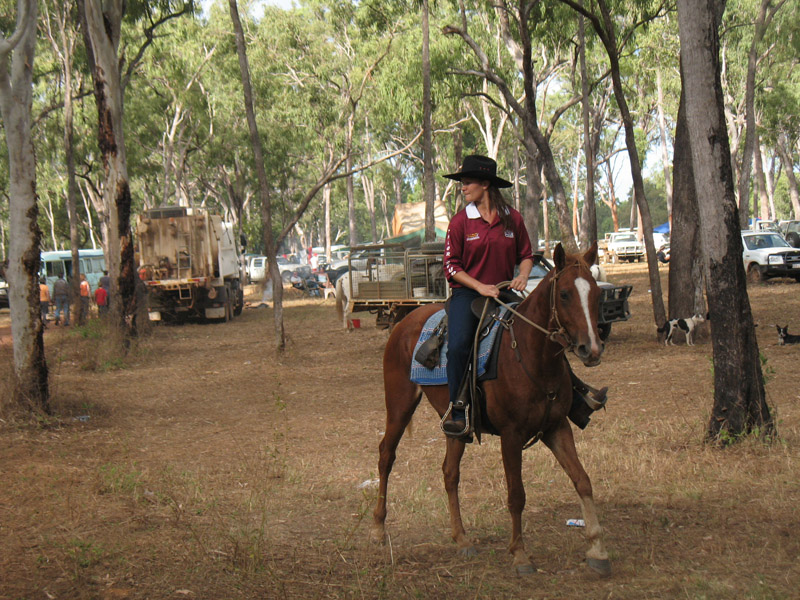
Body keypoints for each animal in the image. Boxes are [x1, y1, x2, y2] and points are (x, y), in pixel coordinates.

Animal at [372, 244, 608, 576]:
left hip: (456, 423)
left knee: (449, 472)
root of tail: (404, 323)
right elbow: (516, 494)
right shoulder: (511, 436)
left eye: (597, 294)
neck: (531, 355)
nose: (592, 349)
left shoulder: (556, 427)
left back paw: (461, 538)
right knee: (386, 455)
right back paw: (378, 528)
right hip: (399, 404)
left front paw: (598, 549)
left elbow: (582, 480)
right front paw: (520, 554)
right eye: (564, 294)